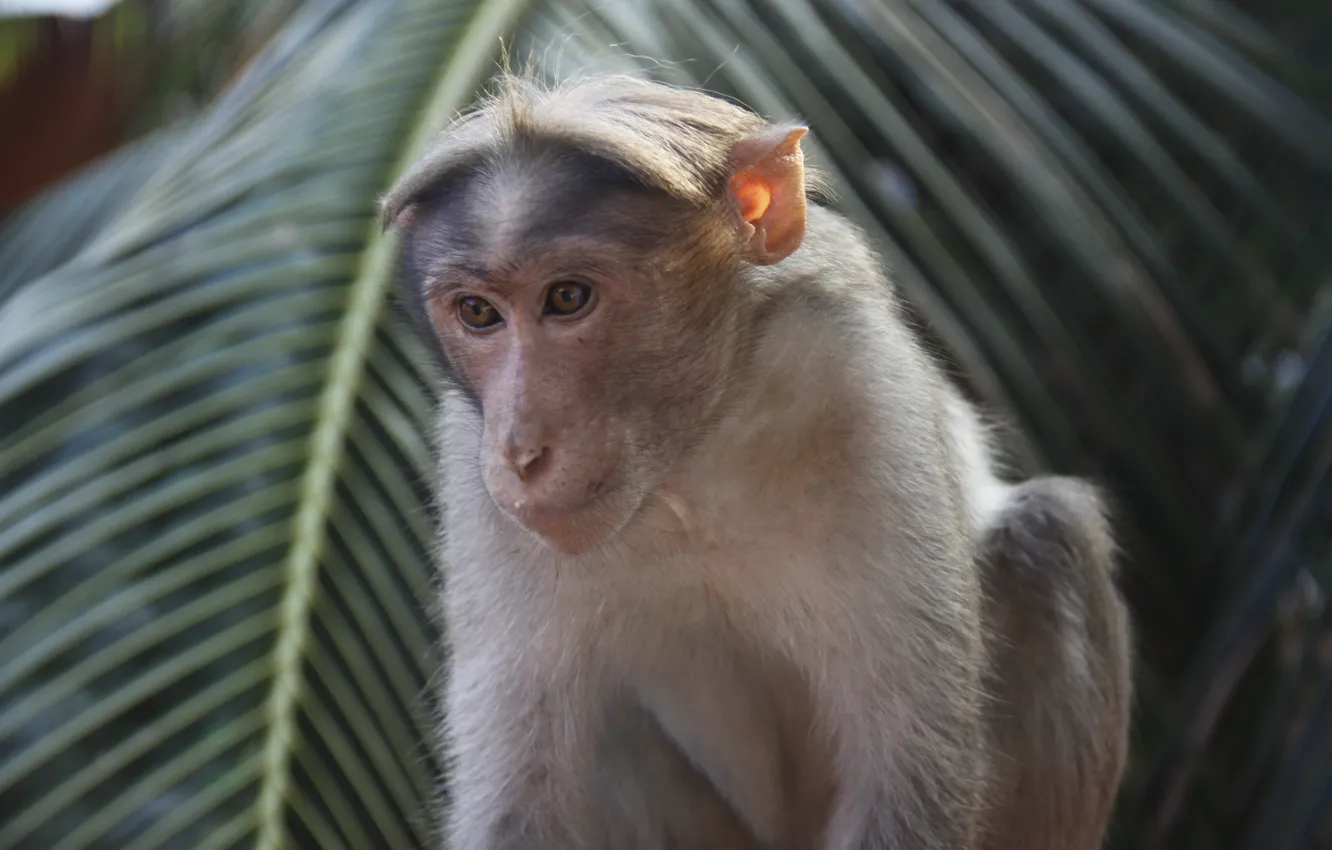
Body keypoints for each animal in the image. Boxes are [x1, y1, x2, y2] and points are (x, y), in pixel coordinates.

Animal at [383, 73, 1134, 850]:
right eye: (478, 314)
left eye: (567, 298)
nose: (518, 449)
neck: (688, 464)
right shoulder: (471, 469)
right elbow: (518, 808)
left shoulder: (858, 379)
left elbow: (910, 775)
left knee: (1050, 532)